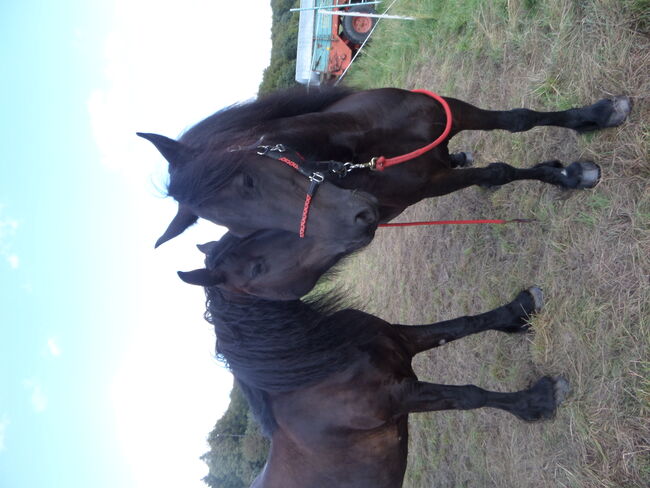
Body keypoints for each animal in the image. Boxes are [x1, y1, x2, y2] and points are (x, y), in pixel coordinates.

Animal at [138, 86, 628, 248]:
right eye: (243, 232)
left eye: (248, 180)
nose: (357, 221)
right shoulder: (432, 184)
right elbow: (500, 172)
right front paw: (569, 175)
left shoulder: (450, 111)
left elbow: (518, 120)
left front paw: (597, 116)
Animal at [206, 282, 568, 488]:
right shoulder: (398, 397)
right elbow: (469, 395)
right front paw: (538, 401)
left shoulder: (402, 341)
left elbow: (461, 324)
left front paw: (520, 310)